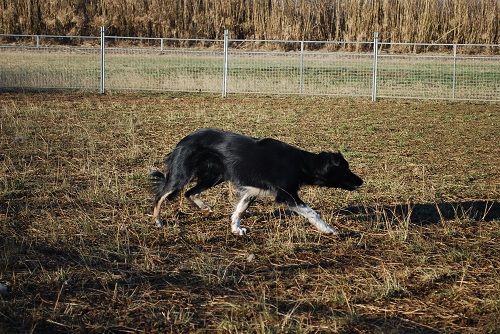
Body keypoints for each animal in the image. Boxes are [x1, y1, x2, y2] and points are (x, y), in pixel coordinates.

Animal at [149, 128, 364, 235]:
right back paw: (157, 221)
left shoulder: (252, 191)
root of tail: (183, 141)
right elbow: (313, 212)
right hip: (182, 175)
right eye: (346, 169)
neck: (301, 163)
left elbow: (238, 211)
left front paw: (236, 229)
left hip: (215, 176)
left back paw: (204, 207)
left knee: (189, 192)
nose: (361, 181)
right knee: (160, 196)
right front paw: (329, 229)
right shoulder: (287, 195)